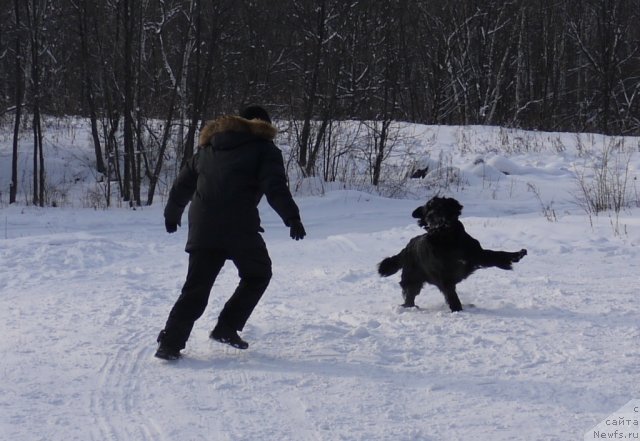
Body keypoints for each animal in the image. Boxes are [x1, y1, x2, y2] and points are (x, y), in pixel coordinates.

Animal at [378, 196, 528, 310]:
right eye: (427, 211)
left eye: (439, 207)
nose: (430, 217)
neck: (447, 238)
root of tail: (406, 248)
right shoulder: (444, 274)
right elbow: (451, 294)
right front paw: (457, 309)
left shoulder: (478, 255)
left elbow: (498, 254)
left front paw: (518, 254)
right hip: (413, 279)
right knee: (410, 296)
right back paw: (409, 307)